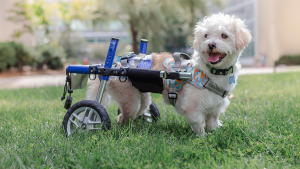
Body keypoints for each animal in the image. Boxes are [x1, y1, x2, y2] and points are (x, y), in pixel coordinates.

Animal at [86, 13, 251, 136]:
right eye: (206, 35)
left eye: (224, 35)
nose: (211, 45)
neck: (211, 72)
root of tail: (113, 66)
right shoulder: (193, 108)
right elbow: (199, 125)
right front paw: (202, 139)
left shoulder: (215, 106)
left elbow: (213, 123)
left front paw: (213, 134)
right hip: (130, 101)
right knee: (122, 118)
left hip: (142, 99)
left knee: (137, 112)